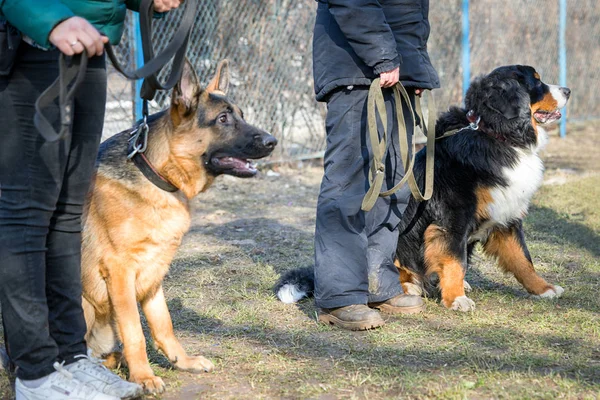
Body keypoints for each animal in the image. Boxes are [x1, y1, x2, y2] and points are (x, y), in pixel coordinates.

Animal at [81, 60, 276, 394]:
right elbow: (134, 330)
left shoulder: (154, 272)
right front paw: (143, 376)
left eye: (241, 114)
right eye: (223, 118)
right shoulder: (120, 272)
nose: (272, 142)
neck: (155, 174)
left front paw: (181, 362)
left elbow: (163, 323)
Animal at [274, 65, 568, 312]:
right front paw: (456, 299)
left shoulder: (506, 216)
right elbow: (456, 260)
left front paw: (543, 288)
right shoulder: (452, 219)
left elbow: (523, 258)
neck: (494, 134)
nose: (567, 90)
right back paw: (409, 288)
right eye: (537, 82)